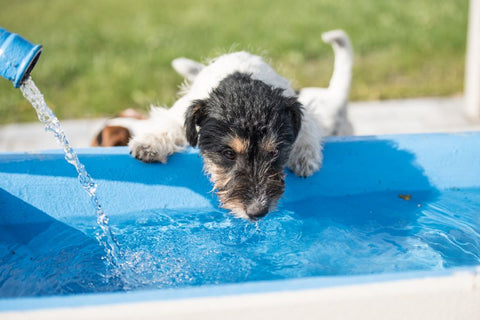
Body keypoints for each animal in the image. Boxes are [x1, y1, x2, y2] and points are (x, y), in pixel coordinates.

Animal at [126, 29, 352, 220]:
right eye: (229, 153)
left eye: (274, 152)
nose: (257, 212)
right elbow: (169, 124)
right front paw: (149, 144)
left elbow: (307, 129)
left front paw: (305, 156)